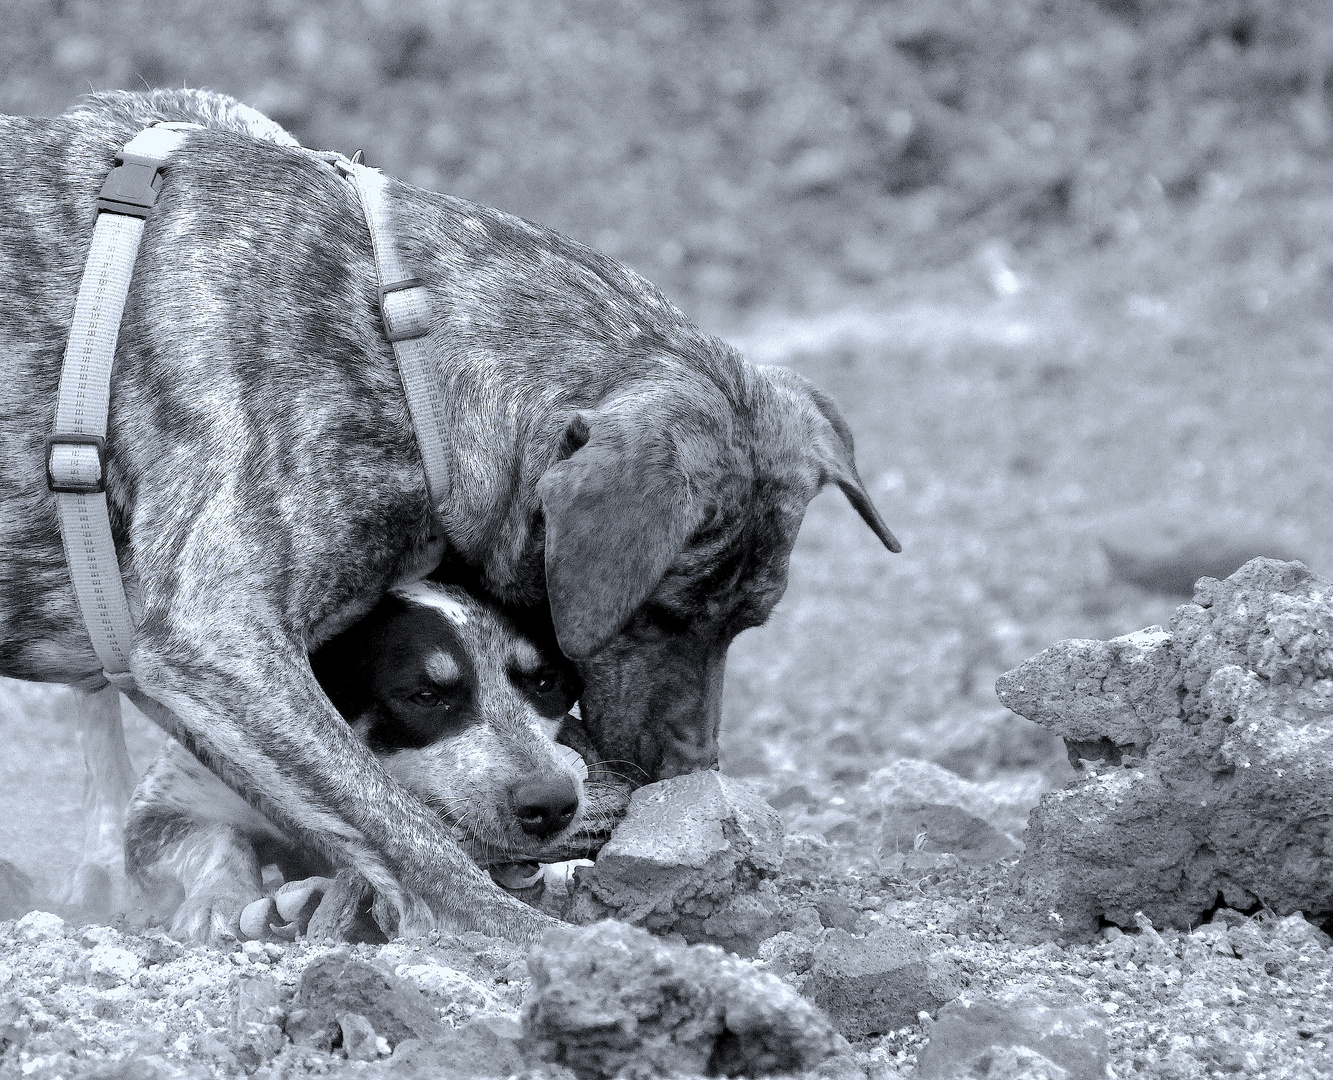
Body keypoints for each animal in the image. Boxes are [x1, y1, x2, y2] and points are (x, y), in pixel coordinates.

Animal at [2, 88, 895, 938]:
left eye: (747, 623)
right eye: (661, 616)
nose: (688, 780)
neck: (400, 342)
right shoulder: (218, 648)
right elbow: (402, 827)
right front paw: (521, 942)